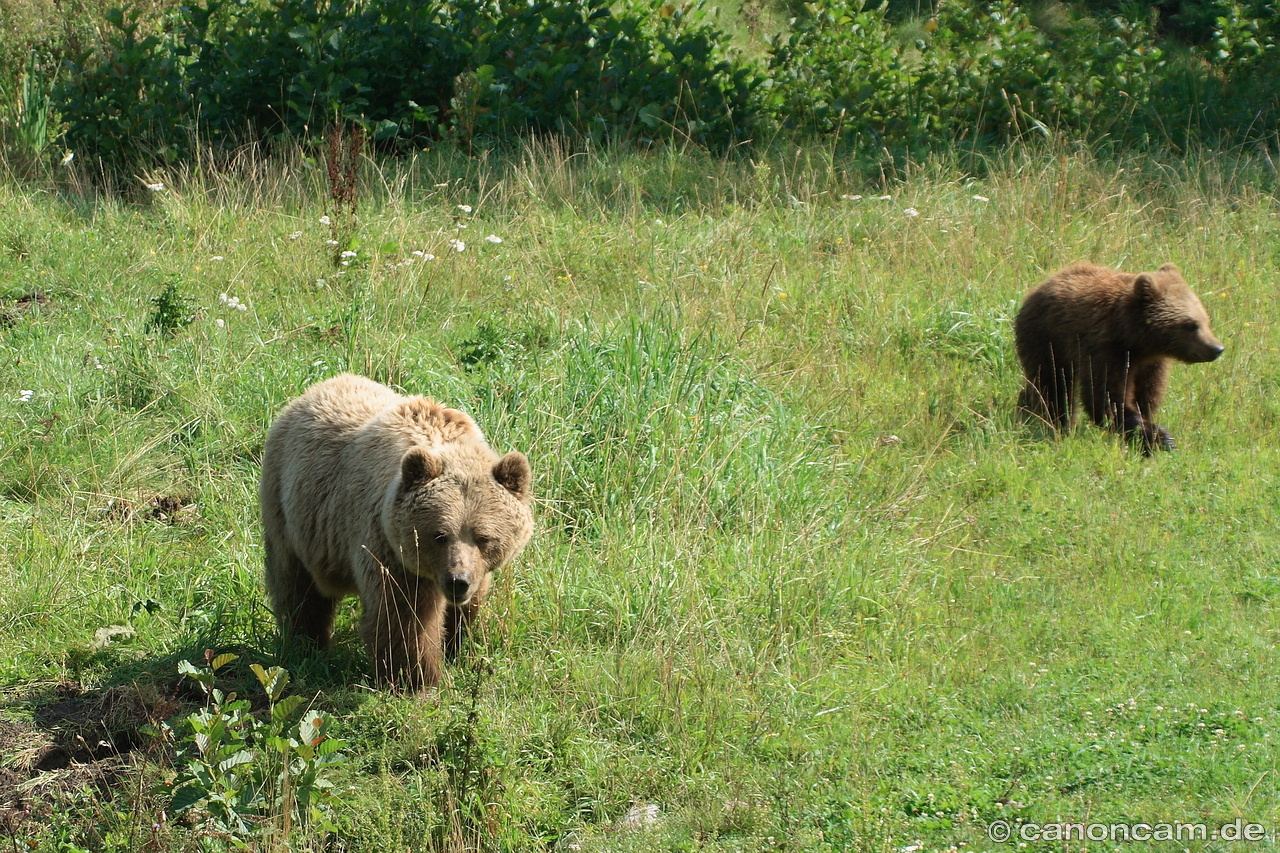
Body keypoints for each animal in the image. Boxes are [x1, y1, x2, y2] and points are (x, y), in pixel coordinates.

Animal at [259, 376, 529, 686]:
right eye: (439, 535)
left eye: (483, 537)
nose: (457, 581)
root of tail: (309, 393)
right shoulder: (389, 549)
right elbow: (404, 617)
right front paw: (416, 679)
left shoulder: (477, 569)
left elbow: (466, 609)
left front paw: (455, 649)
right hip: (293, 512)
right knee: (297, 587)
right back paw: (306, 645)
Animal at [1013, 262, 1223, 450]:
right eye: (1190, 325)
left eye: (1206, 320)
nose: (1216, 348)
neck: (1134, 338)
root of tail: (1042, 285)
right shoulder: (1106, 350)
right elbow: (1106, 396)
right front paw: (1159, 437)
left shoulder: (1152, 362)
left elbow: (1146, 394)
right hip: (1048, 340)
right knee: (1054, 385)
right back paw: (1056, 423)